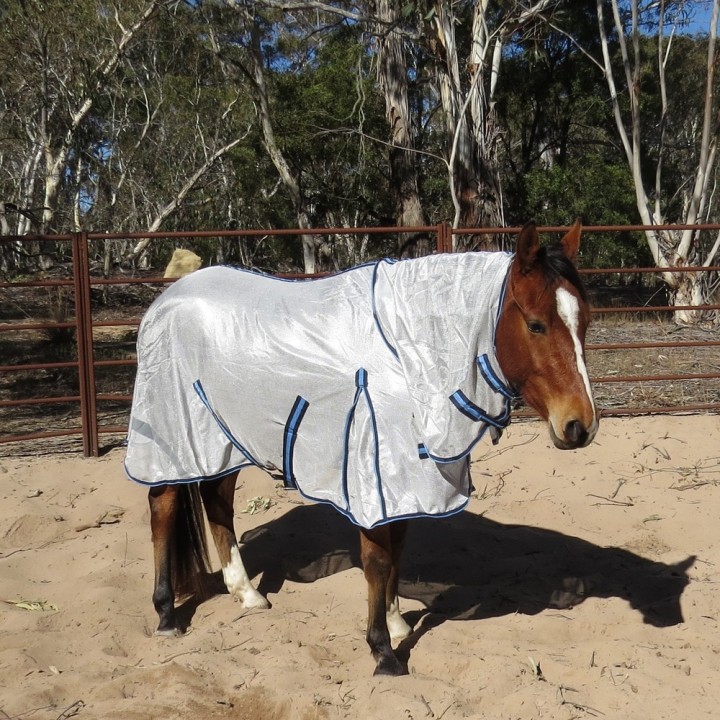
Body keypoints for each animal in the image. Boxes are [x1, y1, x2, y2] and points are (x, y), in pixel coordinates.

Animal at [124, 220, 598, 676]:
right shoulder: (372, 475)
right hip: (174, 434)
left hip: (225, 437)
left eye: (585, 322)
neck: (406, 354)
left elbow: (398, 550)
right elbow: (377, 561)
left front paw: (396, 623)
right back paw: (167, 615)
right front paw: (384, 653)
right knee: (163, 507)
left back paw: (247, 594)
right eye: (535, 324)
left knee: (216, 502)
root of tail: (169, 298)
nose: (580, 426)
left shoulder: (407, 481)